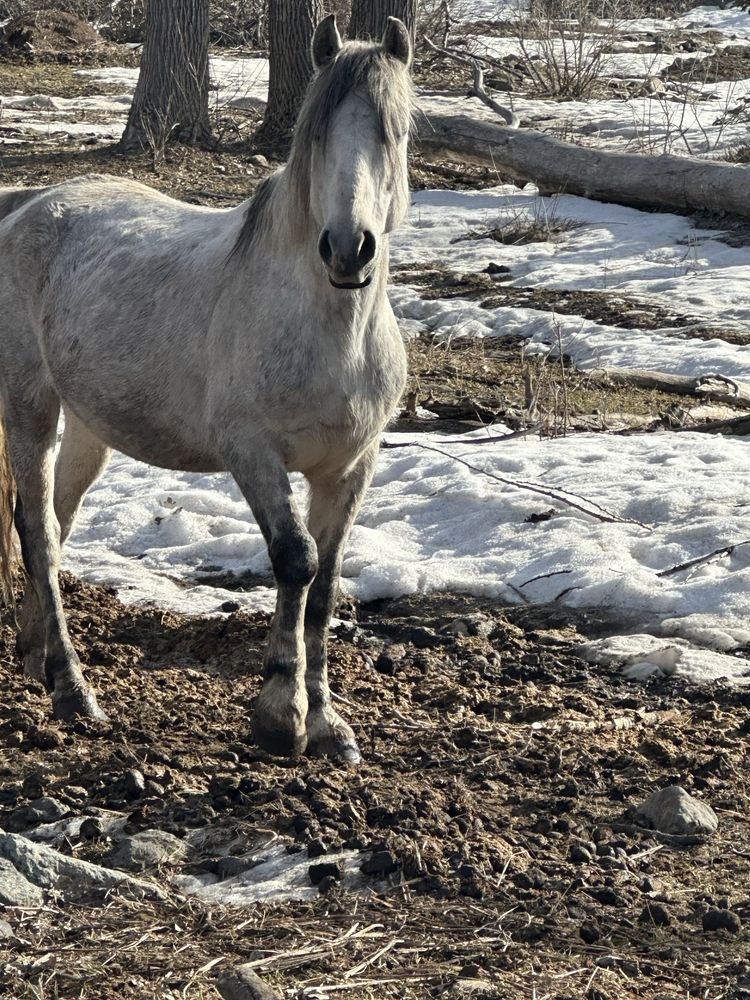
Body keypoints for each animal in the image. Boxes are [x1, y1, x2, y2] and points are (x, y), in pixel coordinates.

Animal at [0, 15, 414, 760]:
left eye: (392, 134)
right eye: (317, 136)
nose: (348, 249)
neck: (328, 332)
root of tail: (26, 208)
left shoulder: (350, 465)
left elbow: (327, 582)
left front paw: (328, 724)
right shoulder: (251, 450)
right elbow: (296, 561)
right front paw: (281, 715)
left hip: (88, 427)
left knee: (55, 519)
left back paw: (35, 657)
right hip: (29, 406)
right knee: (39, 530)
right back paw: (73, 690)